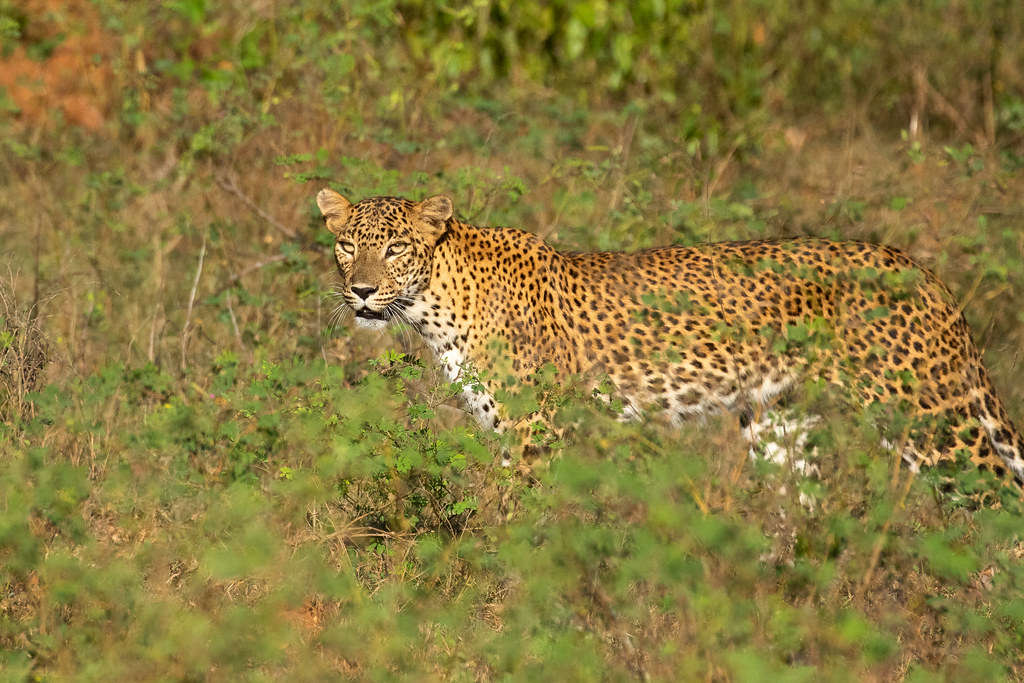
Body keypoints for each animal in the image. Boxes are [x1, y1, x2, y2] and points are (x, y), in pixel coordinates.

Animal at [316, 188, 1024, 490]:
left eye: (395, 248)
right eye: (348, 245)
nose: (361, 291)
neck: (435, 304)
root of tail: (921, 268)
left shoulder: (537, 433)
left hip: (928, 417)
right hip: (781, 427)